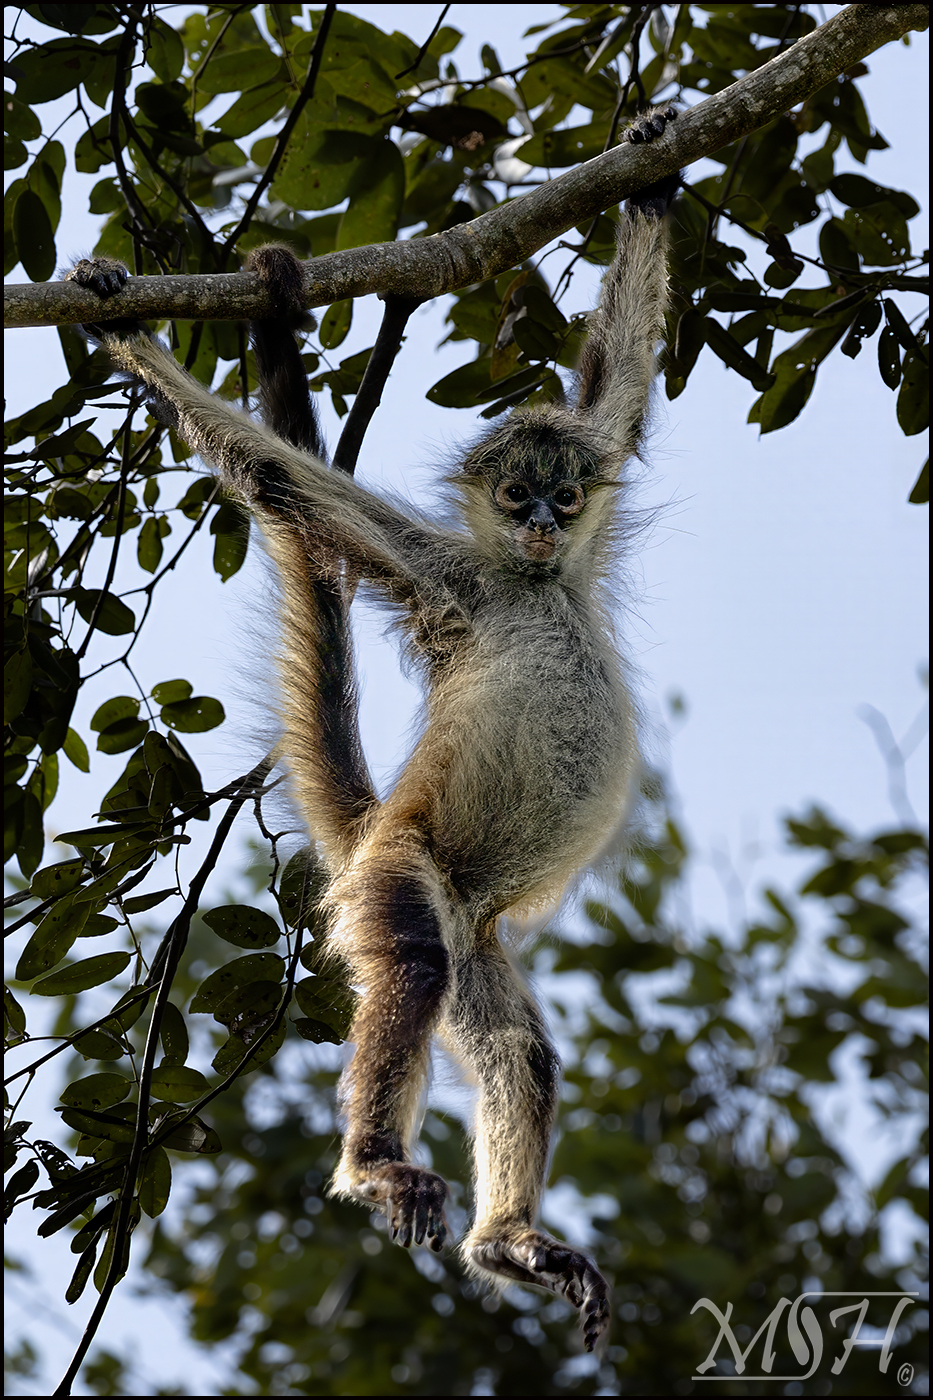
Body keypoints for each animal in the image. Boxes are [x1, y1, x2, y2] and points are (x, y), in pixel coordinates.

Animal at [68, 106, 679, 1352]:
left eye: (563, 494)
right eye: (513, 496)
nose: (542, 524)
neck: (533, 586)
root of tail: (378, 836)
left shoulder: (575, 541)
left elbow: (621, 385)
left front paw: (648, 168)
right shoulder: (448, 576)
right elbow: (277, 478)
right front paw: (128, 333)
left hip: (476, 920)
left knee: (516, 1047)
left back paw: (507, 1240)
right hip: (407, 871)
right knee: (413, 962)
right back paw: (373, 1165)